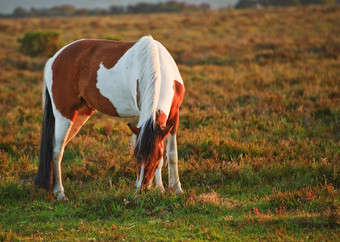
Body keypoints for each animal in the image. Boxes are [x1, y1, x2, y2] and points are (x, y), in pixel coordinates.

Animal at [33, 35, 185, 199]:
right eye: (136, 157)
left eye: (155, 159)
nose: (141, 190)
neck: (158, 68)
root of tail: (54, 59)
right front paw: (161, 188)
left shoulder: (173, 117)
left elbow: (171, 154)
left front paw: (175, 188)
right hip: (64, 114)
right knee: (56, 151)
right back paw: (59, 192)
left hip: (80, 115)